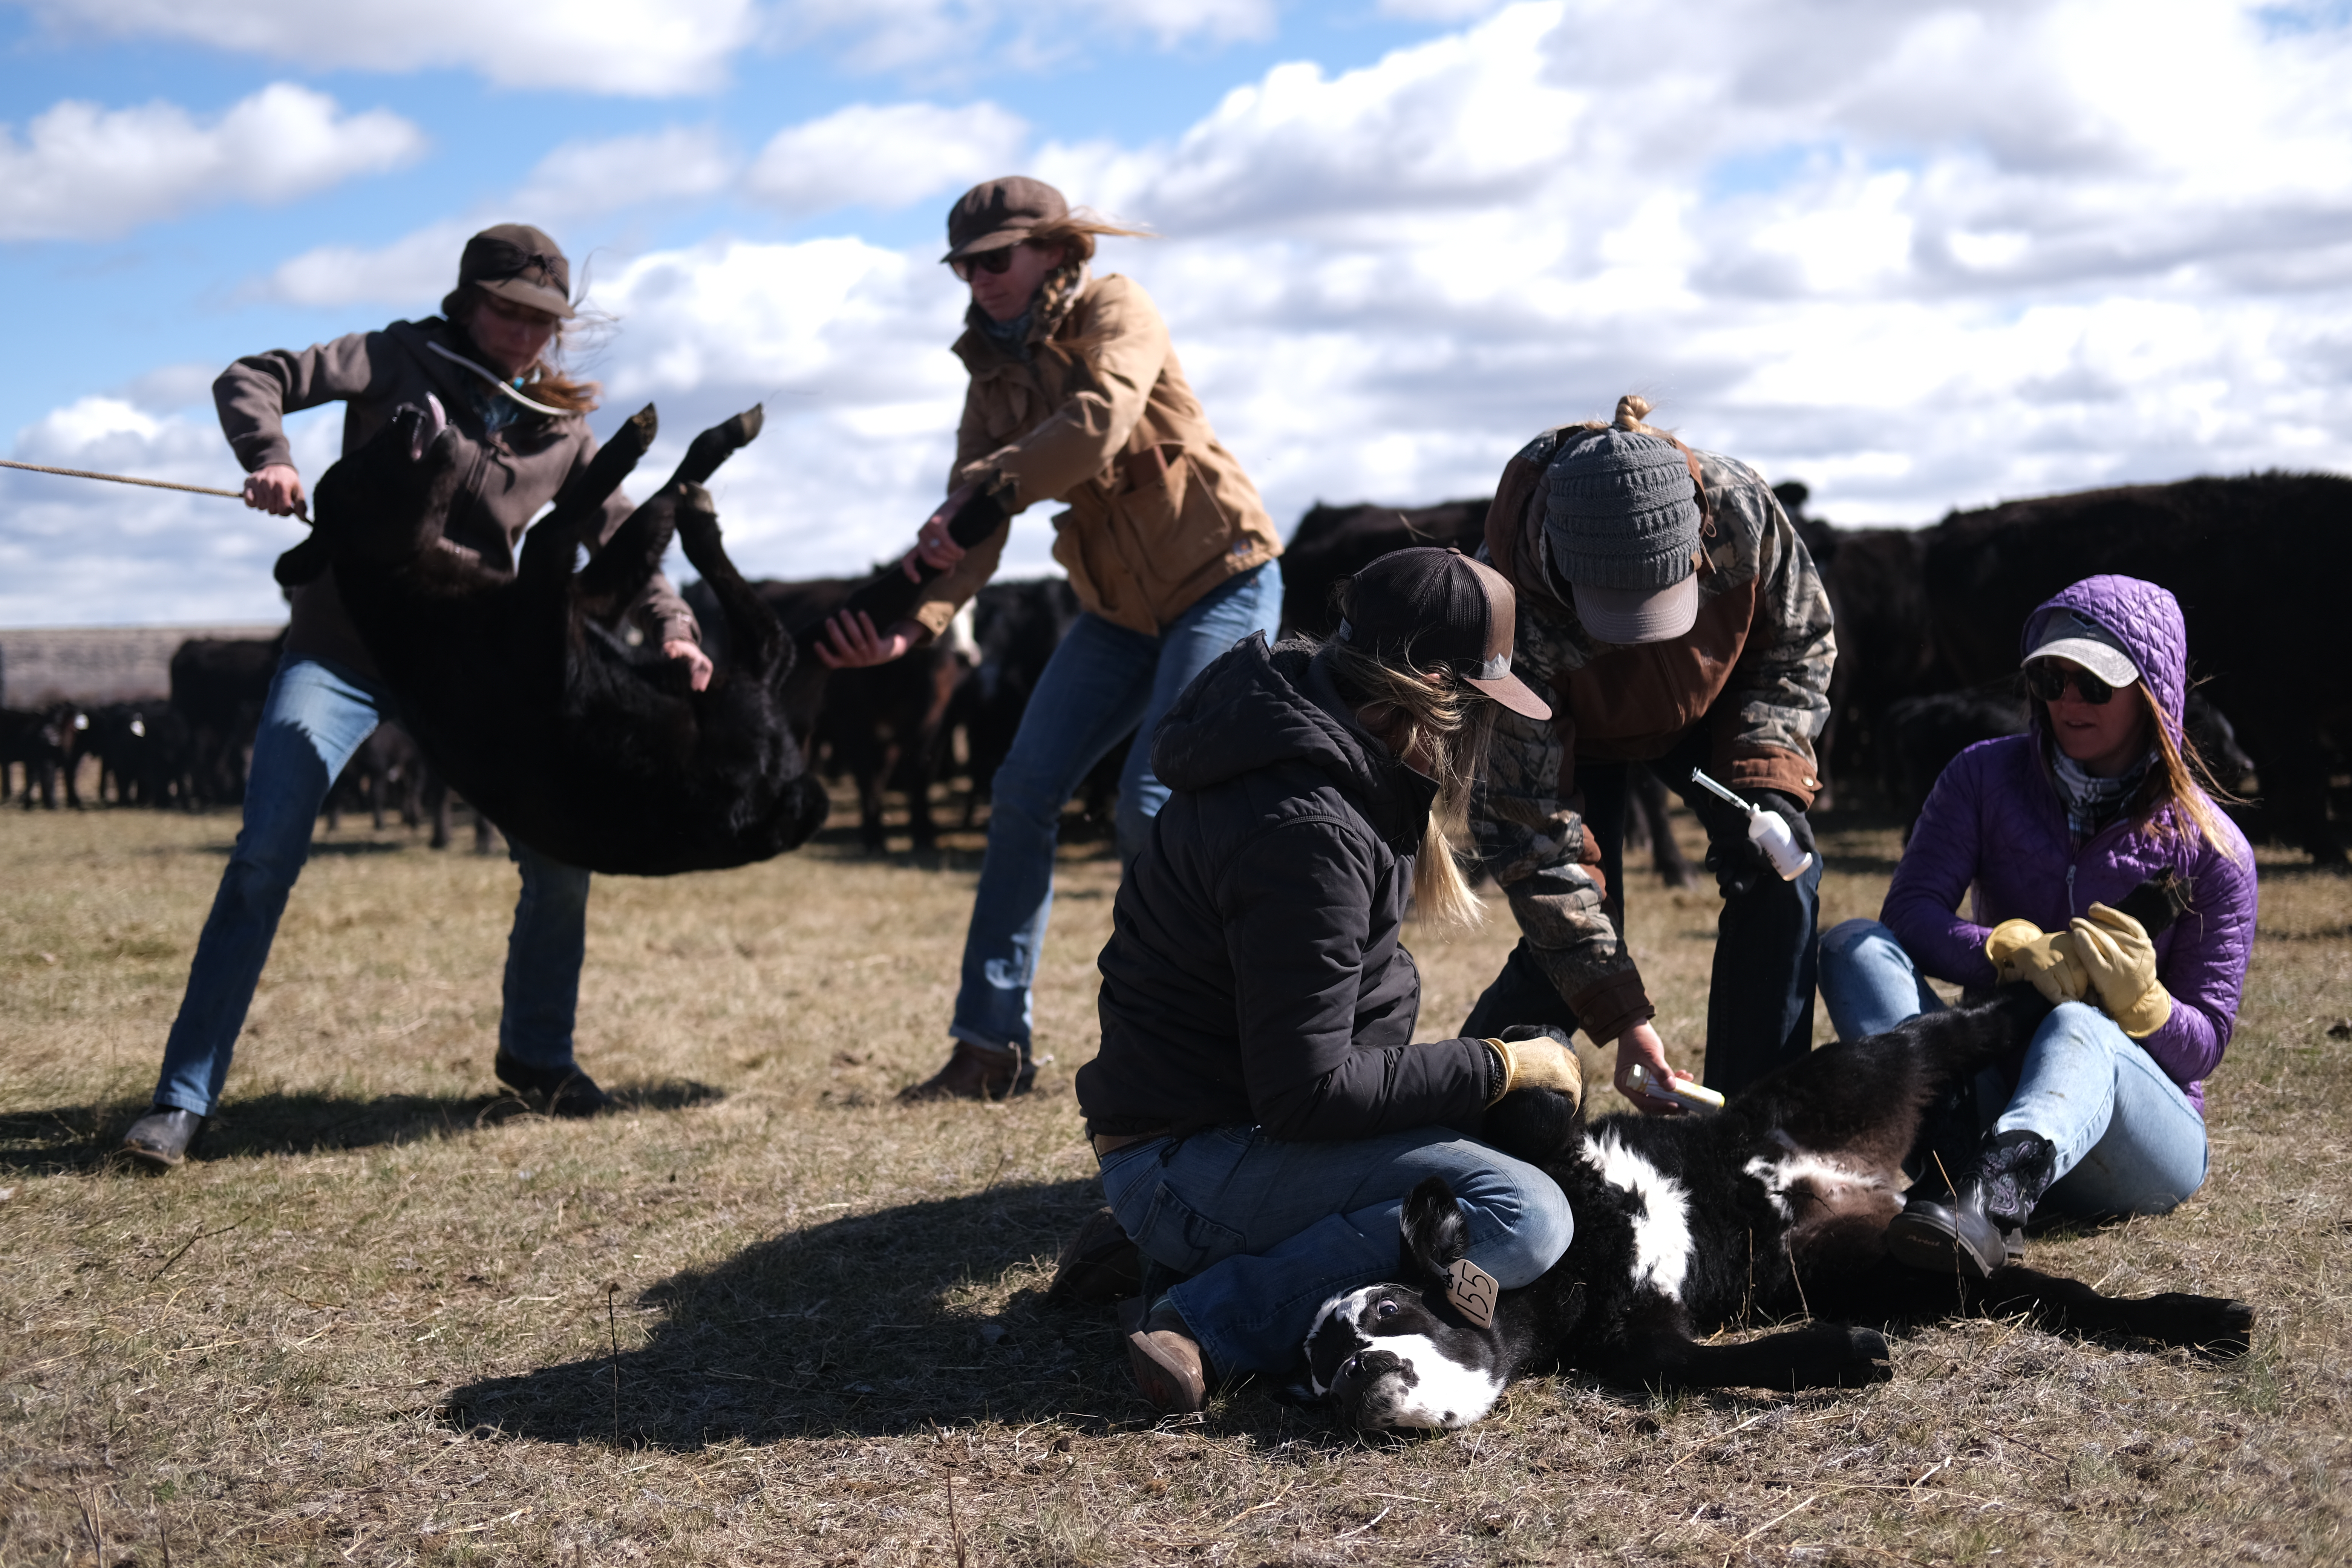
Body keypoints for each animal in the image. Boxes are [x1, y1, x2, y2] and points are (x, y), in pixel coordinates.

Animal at [1317, 884, 2248, 1420]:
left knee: (2006, 1010)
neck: (1577, 1260)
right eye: (1313, 1383)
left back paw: (2124, 926)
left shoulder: (1553, 1139)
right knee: (2054, 1295)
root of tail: (1872, 1181)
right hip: (1895, 1266)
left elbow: (1532, 1091)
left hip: (1871, 1068)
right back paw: (2202, 1321)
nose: (1355, 1375)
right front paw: (1846, 1355)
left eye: (1388, 1310)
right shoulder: (1641, 1338)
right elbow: (1715, 1362)